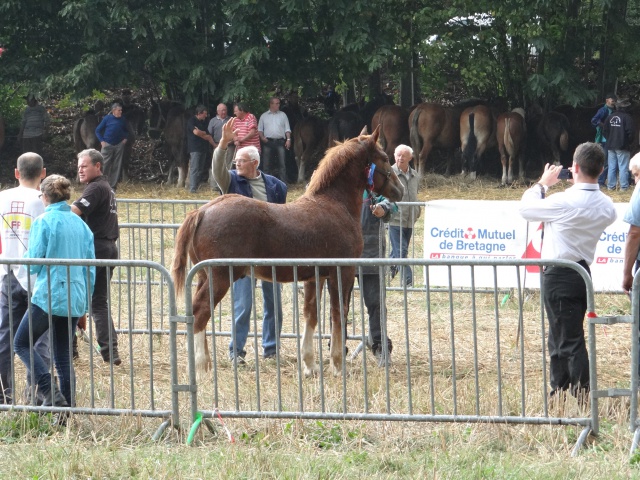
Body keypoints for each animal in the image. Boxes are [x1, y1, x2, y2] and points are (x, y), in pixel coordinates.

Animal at [170, 125, 400, 376]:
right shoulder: (342, 273)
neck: (335, 204)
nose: (399, 190)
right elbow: (339, 313)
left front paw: (309, 366)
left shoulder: (315, 276)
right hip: (218, 277)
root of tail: (201, 211)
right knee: (200, 312)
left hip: (203, 275)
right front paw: (338, 366)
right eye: (384, 157)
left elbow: (311, 314)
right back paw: (202, 369)